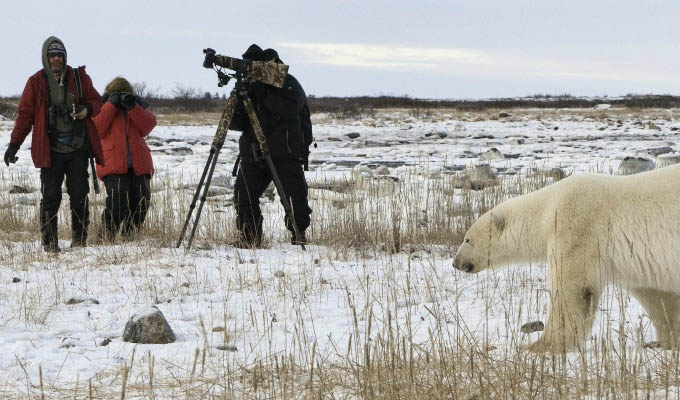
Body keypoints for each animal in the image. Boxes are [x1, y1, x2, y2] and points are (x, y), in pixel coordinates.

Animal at [454, 163, 680, 354]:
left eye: (467, 239)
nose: (456, 263)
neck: (546, 210)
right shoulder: (635, 260)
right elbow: (656, 296)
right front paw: (663, 342)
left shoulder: (576, 227)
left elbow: (572, 290)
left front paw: (537, 346)